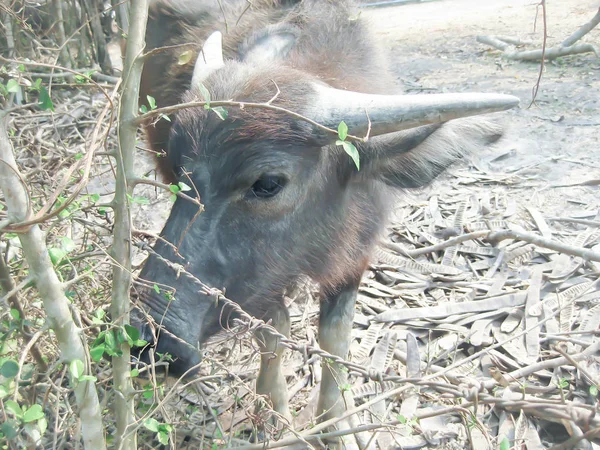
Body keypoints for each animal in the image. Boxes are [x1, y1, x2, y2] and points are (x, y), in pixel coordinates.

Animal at [132, 0, 520, 434]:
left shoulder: (355, 253)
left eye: (268, 183)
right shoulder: (261, 281)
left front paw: (334, 424)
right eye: (178, 168)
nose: (151, 337)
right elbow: (276, 331)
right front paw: (275, 412)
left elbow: (336, 337)